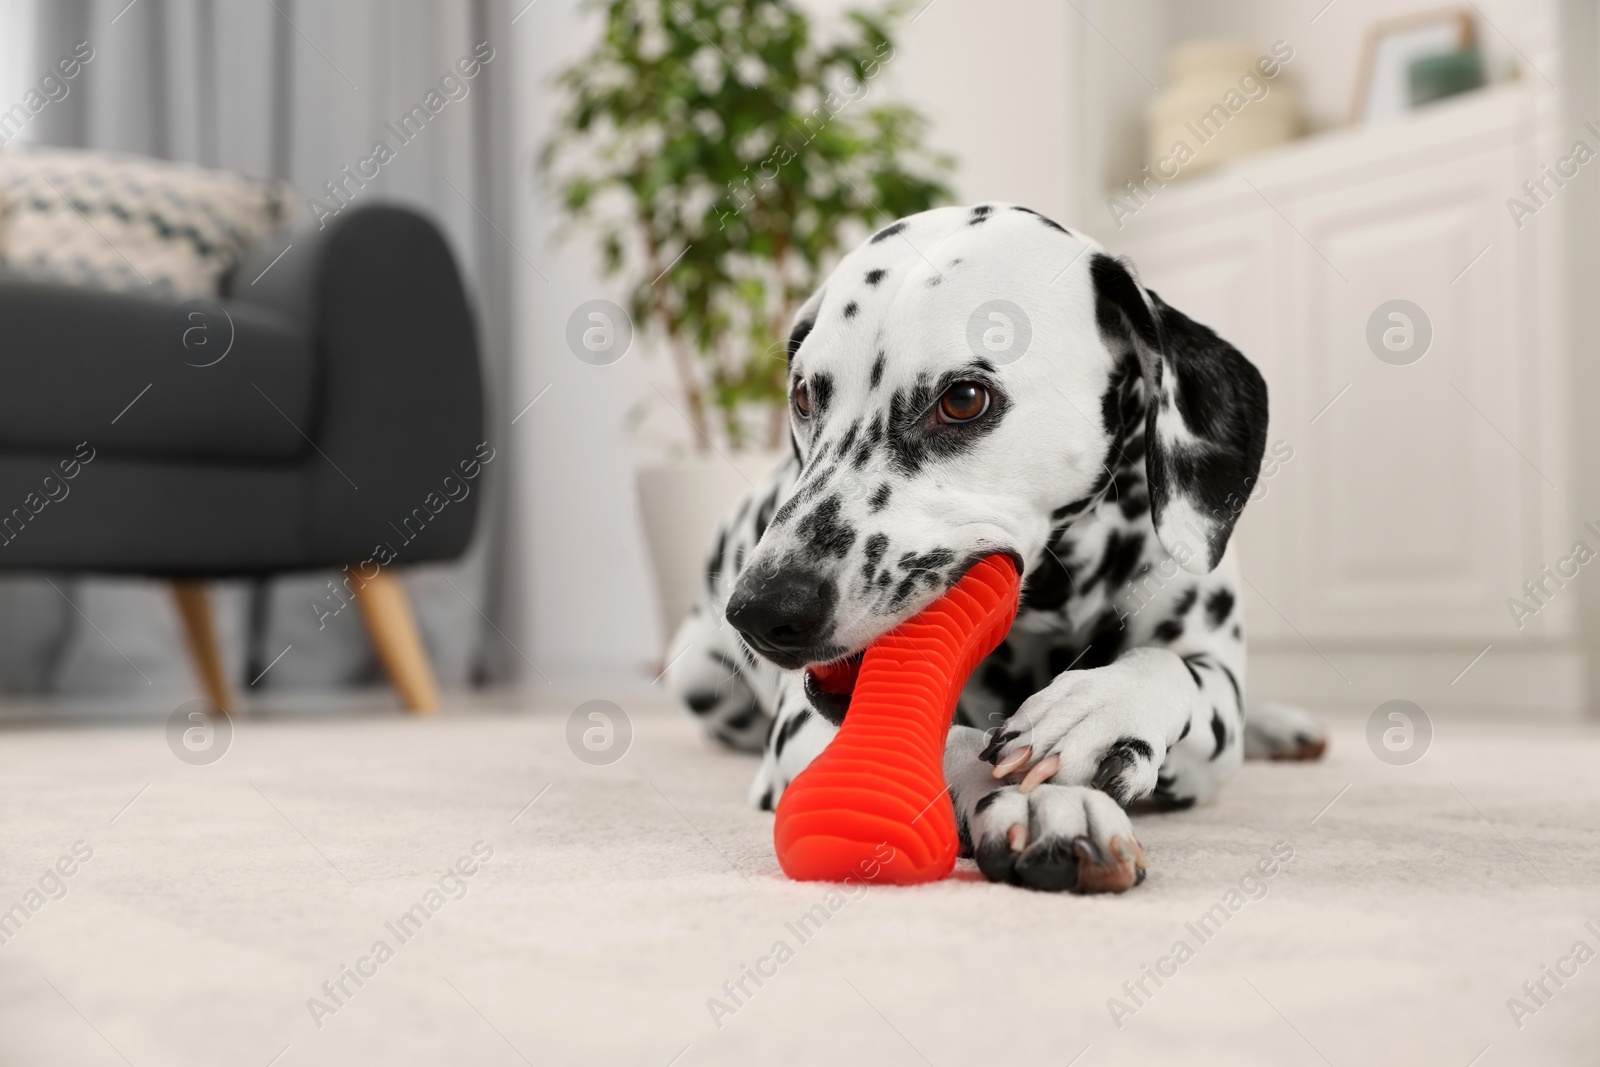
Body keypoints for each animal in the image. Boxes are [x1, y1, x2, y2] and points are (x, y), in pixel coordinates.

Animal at [662, 199, 1324, 895]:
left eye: (963, 399)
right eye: (803, 395)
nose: (762, 611)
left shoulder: (1212, 703)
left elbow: (1172, 669)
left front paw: (1094, 709)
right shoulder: (801, 726)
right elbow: (945, 743)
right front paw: (1039, 803)